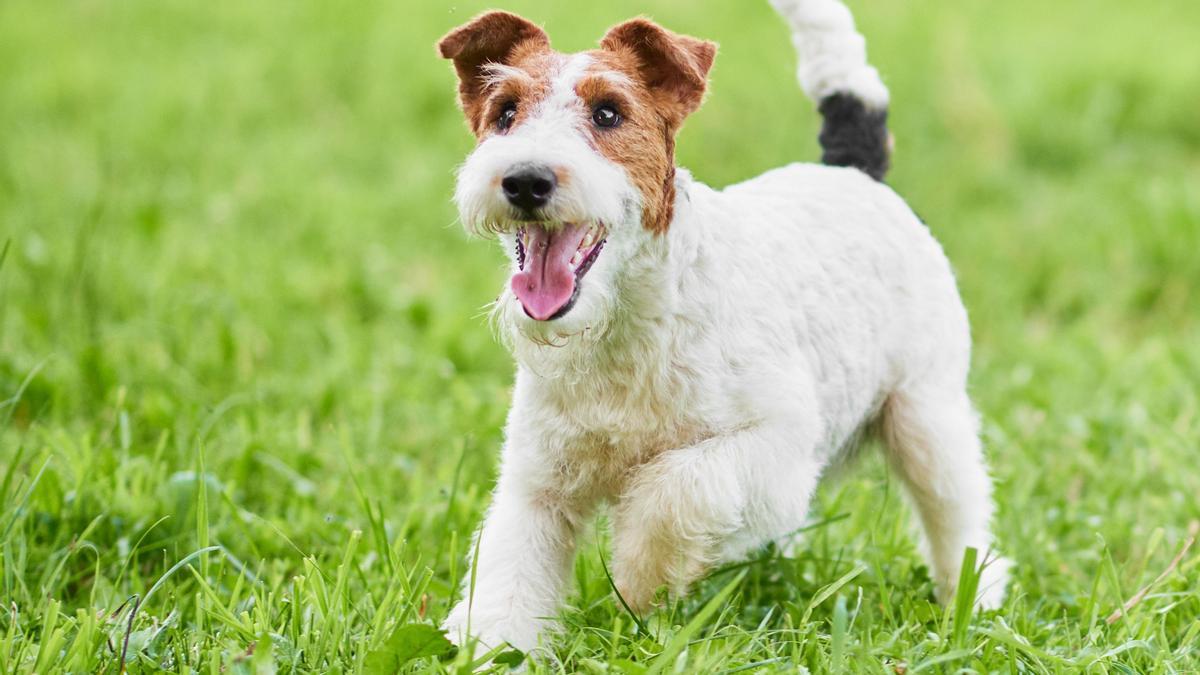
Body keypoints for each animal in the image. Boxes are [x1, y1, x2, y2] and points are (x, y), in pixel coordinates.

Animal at [436, 0, 1008, 653]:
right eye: (505, 112)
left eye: (608, 112)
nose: (525, 180)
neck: (623, 329)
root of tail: (856, 171)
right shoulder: (537, 483)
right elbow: (508, 573)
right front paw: (490, 648)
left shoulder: (775, 443)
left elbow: (679, 489)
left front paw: (638, 578)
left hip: (926, 412)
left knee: (958, 514)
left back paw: (975, 603)